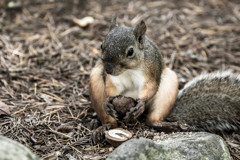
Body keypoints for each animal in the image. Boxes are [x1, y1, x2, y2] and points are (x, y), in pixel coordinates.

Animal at [89, 15, 239, 131]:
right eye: (101, 45)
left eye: (130, 52)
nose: (108, 69)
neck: (129, 70)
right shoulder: (113, 79)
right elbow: (111, 87)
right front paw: (108, 101)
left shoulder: (151, 70)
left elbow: (151, 86)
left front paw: (141, 103)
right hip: (94, 78)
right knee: (110, 120)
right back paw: (103, 127)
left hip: (169, 86)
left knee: (152, 120)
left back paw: (165, 124)